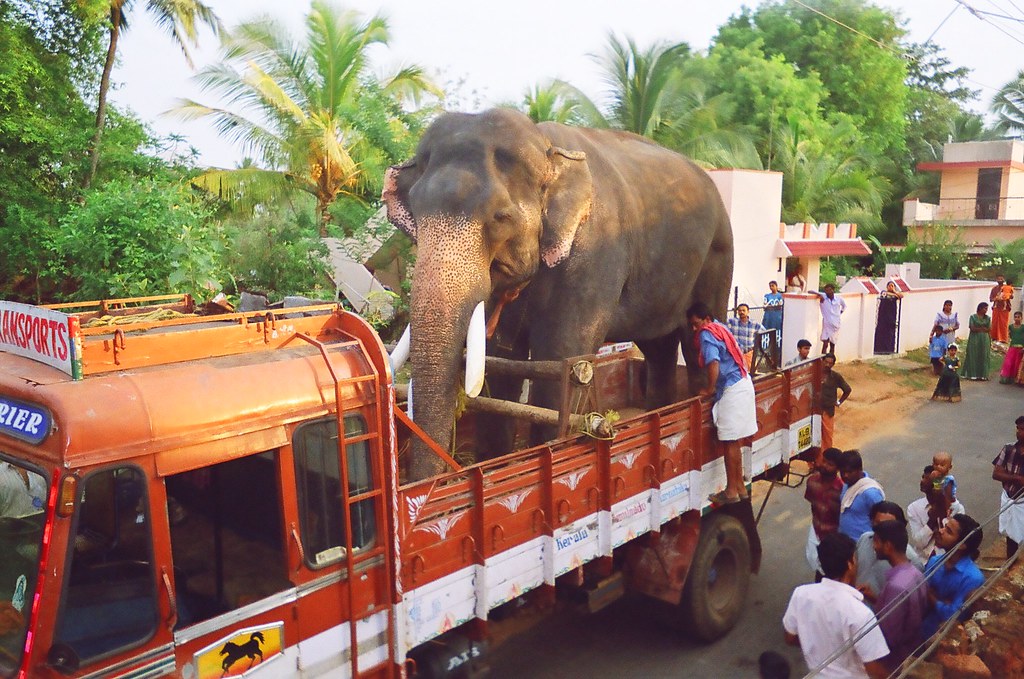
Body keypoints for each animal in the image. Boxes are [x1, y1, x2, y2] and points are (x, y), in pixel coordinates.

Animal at [383, 108, 733, 481]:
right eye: (416, 215)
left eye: (500, 217)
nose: (440, 478)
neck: (546, 148)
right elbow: (502, 363)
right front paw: (497, 466)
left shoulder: (594, 258)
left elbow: (561, 356)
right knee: (658, 348)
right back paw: (661, 411)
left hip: (718, 255)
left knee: (696, 343)